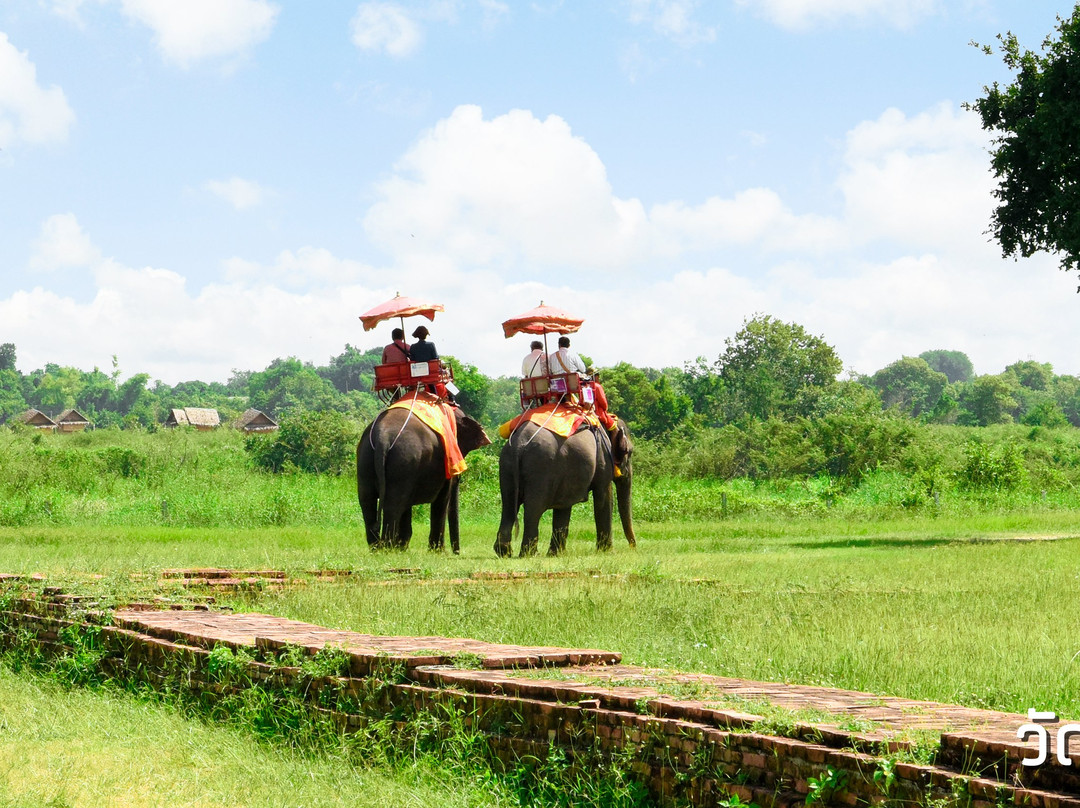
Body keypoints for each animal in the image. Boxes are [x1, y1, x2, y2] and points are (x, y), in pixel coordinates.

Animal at [357, 404, 490, 552]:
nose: (457, 552)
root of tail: (383, 437)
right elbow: (442, 499)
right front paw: (438, 552)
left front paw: (402, 548)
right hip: (404, 460)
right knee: (393, 504)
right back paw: (387, 549)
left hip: (366, 459)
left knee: (367, 501)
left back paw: (377, 549)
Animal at [494, 419, 635, 557]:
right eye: (630, 452)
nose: (633, 547)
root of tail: (519, 443)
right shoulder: (604, 461)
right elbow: (604, 497)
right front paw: (608, 552)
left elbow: (563, 506)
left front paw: (556, 554)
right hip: (541, 468)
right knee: (533, 509)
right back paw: (530, 554)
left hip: (506, 464)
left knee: (508, 505)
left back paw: (504, 552)